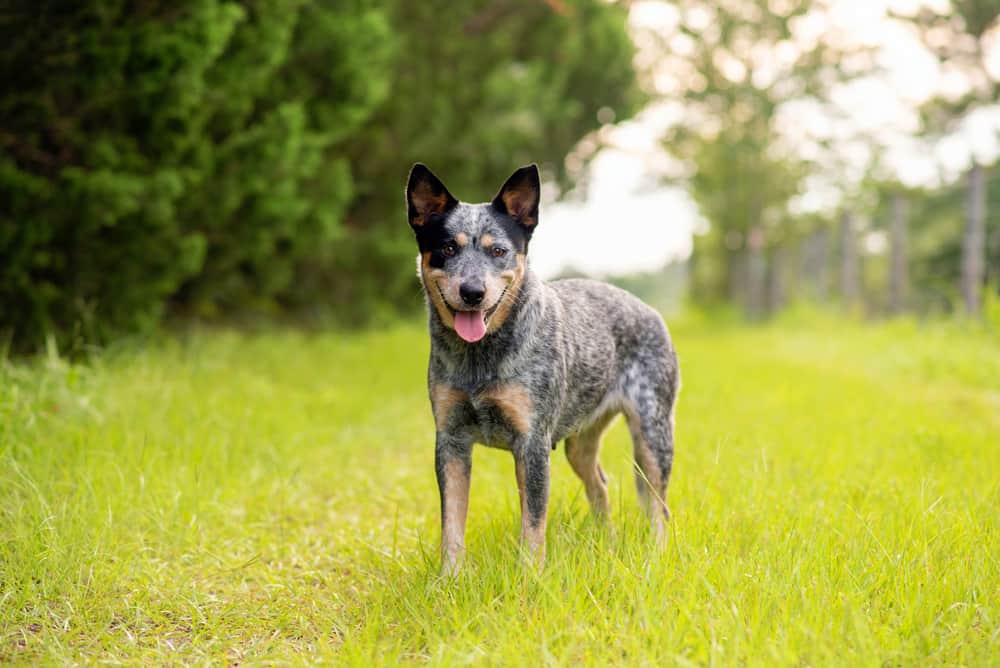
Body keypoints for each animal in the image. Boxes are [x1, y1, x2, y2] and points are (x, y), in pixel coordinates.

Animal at [406, 163, 680, 576]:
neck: (480, 360)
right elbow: (451, 522)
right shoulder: (450, 440)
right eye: (447, 248)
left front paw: (529, 579)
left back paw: (657, 555)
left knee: (657, 505)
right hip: (579, 443)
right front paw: (448, 579)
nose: (472, 292)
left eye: (498, 250)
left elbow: (533, 524)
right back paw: (605, 540)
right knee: (600, 483)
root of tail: (650, 311)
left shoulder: (532, 442)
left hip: (652, 433)